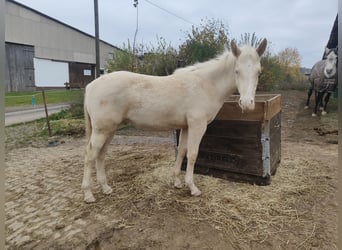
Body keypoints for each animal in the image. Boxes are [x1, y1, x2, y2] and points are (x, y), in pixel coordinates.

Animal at [82, 39, 268, 203]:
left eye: (259, 72)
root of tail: (91, 86)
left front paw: (177, 182)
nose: (247, 104)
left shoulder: (185, 127)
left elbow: (182, 151)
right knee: (90, 155)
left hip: (110, 130)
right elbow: (192, 154)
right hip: (102, 130)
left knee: (101, 155)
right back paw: (88, 194)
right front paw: (192, 187)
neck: (206, 85)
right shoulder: (197, 125)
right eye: (237, 71)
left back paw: (106, 188)